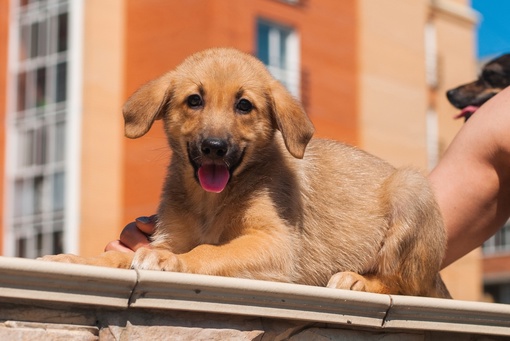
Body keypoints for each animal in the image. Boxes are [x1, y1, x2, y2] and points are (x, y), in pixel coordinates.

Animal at [43, 47, 450, 298]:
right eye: (194, 100)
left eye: (244, 105)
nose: (214, 147)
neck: (209, 200)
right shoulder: (168, 235)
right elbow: (121, 257)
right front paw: (76, 260)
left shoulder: (275, 243)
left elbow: (208, 250)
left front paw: (171, 262)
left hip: (411, 191)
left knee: (407, 284)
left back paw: (356, 280)